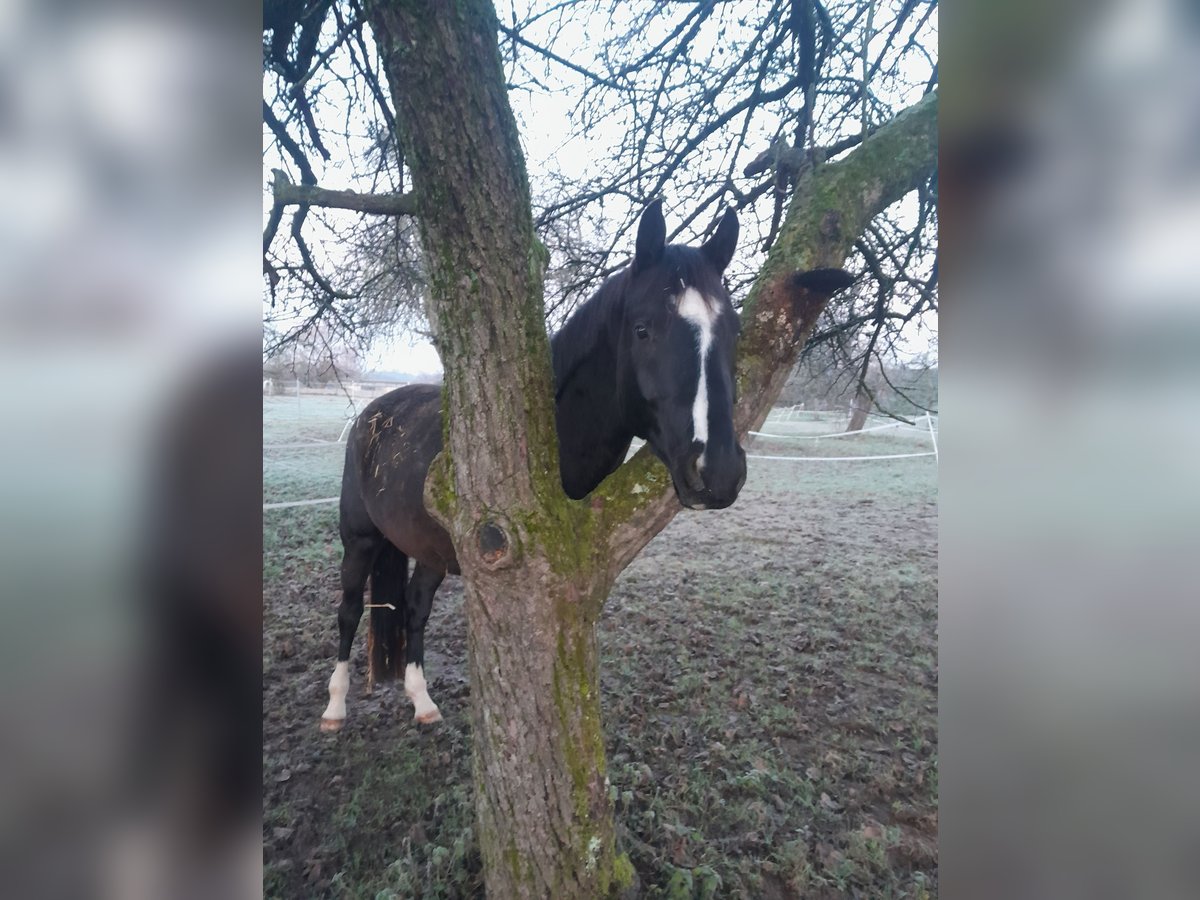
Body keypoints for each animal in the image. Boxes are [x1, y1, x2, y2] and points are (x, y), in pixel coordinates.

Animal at [320, 199, 749, 731]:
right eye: (643, 329)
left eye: (733, 331)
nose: (719, 470)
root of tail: (371, 416)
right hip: (359, 540)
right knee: (348, 610)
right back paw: (334, 707)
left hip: (428, 549)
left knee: (415, 609)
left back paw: (422, 701)